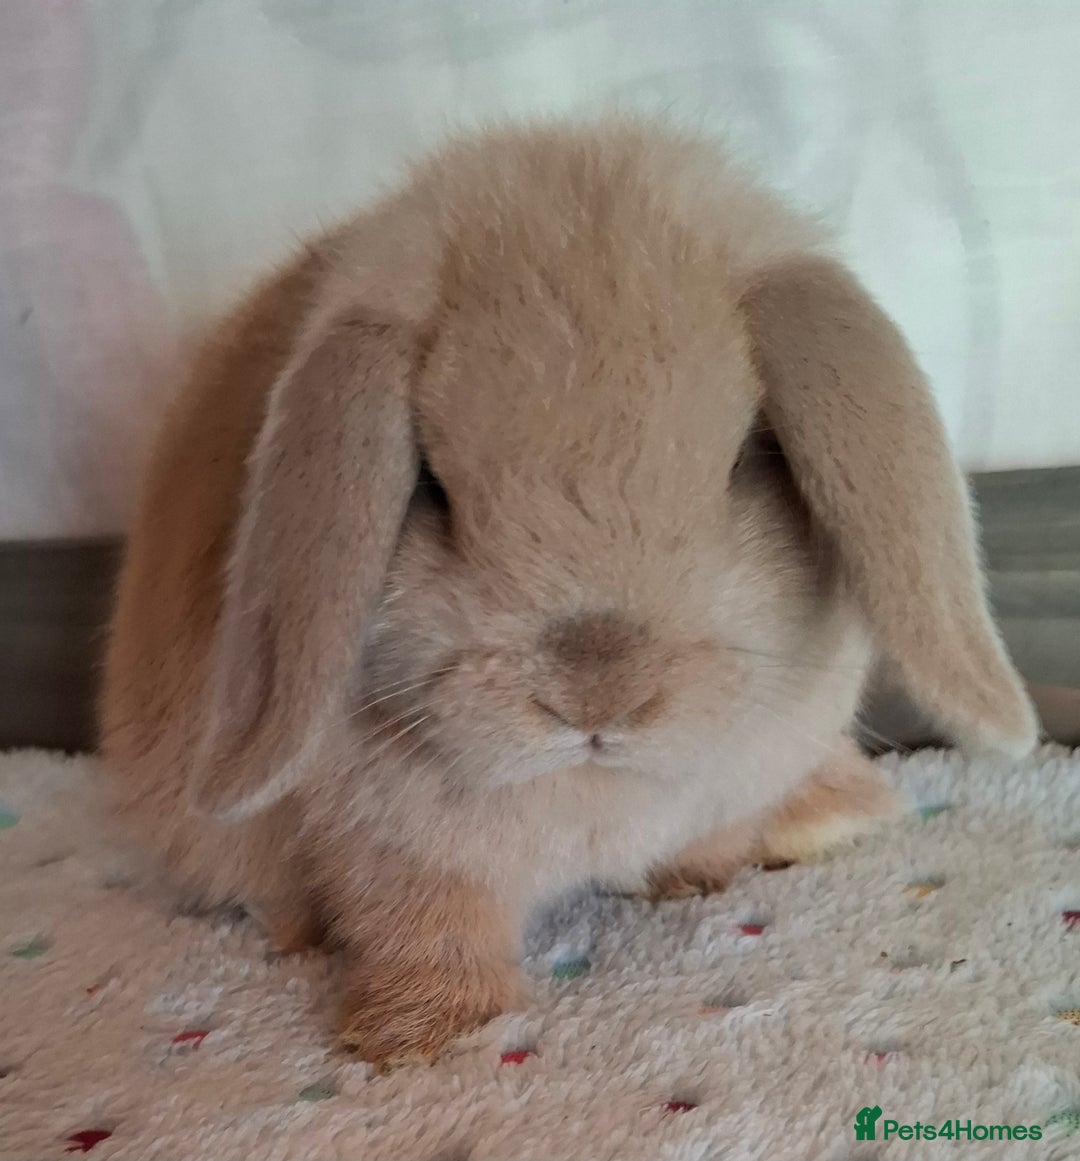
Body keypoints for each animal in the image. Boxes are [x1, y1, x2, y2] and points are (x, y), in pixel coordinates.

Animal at [101, 117, 1037, 1066]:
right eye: (433, 487)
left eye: (747, 458)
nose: (596, 692)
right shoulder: (391, 850)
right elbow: (426, 924)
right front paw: (416, 1034)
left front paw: (700, 878)